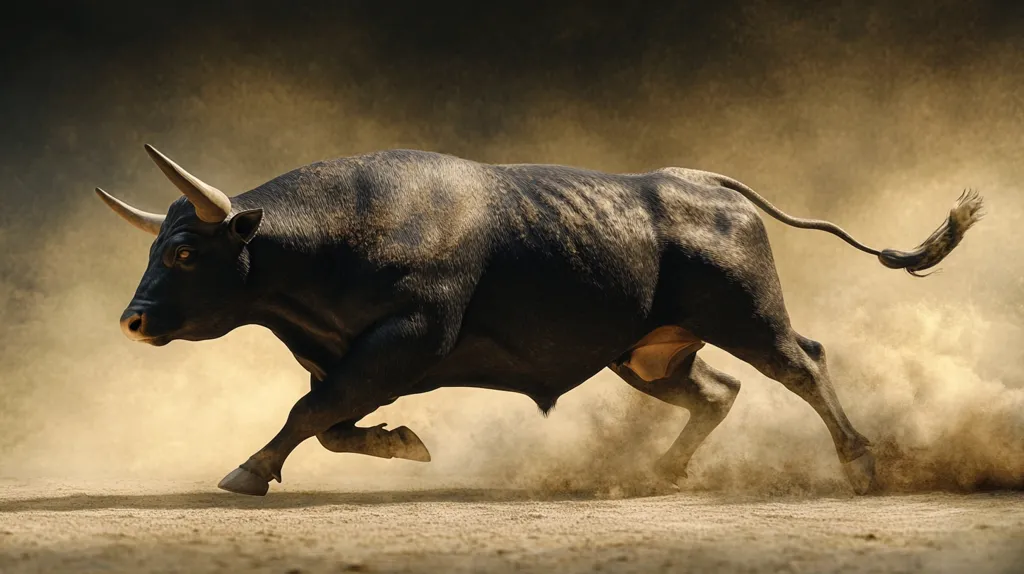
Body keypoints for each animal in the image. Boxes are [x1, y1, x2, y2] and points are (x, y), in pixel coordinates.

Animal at [95, 145, 983, 496]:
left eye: (183, 252)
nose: (132, 322)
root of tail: (703, 183)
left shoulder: (408, 338)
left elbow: (310, 412)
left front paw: (246, 472)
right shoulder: (359, 357)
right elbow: (330, 418)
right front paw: (403, 444)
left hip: (749, 315)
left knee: (804, 364)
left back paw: (861, 467)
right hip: (646, 353)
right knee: (717, 392)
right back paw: (659, 473)